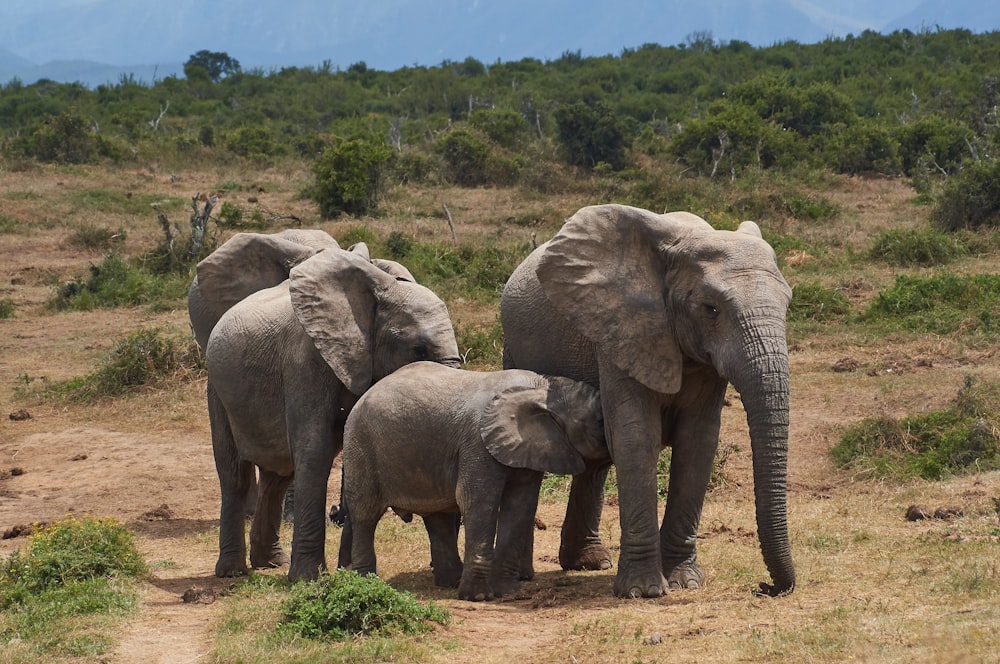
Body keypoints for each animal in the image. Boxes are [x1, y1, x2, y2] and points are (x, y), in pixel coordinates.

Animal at [191, 231, 460, 580]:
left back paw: (271, 562)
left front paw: (348, 571)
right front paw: (309, 578)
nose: (336, 513)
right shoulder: (305, 361)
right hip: (218, 390)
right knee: (235, 474)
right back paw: (233, 572)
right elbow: (315, 450)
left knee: (278, 476)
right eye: (418, 349)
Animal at [344, 364, 608, 600]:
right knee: (365, 514)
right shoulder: (478, 442)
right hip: (360, 445)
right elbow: (478, 501)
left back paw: (451, 582)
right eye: (600, 421)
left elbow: (520, 504)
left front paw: (507, 593)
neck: (542, 385)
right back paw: (367, 582)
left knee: (438, 516)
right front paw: (479, 596)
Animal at [500, 205, 796, 600]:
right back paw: (523, 574)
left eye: (788, 304)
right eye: (711, 309)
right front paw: (643, 591)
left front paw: (685, 582)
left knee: (596, 459)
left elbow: (698, 442)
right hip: (514, 348)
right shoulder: (620, 327)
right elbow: (637, 437)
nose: (766, 587)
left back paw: (589, 562)